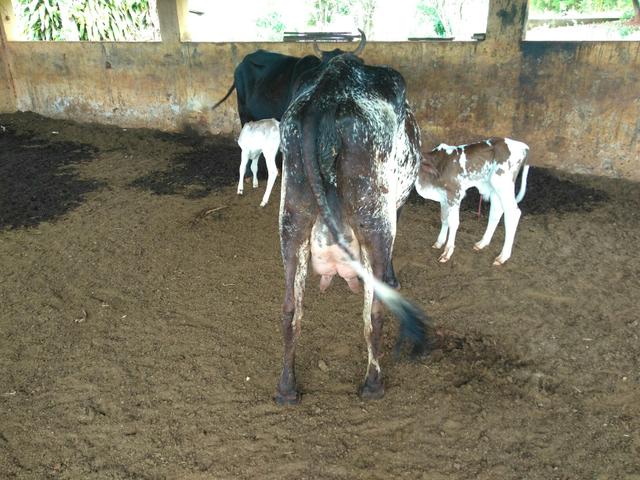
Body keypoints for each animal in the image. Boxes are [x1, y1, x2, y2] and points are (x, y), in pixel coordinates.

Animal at [275, 53, 429, 405]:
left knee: (291, 308)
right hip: (375, 219)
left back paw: (287, 389)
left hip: (292, 218)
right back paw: (373, 385)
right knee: (375, 310)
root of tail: (329, 92)